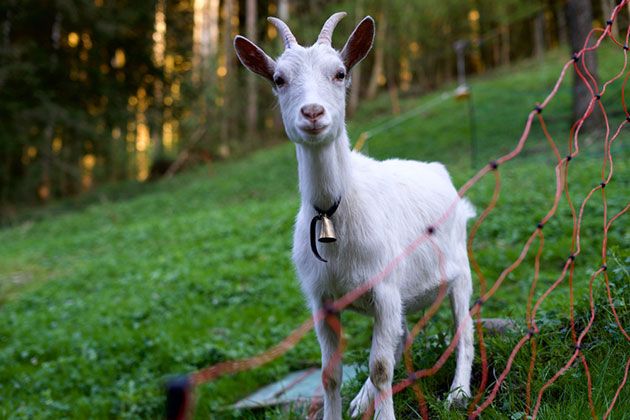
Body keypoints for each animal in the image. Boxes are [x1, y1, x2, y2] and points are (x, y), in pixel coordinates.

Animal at [235, 13, 476, 420]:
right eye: (279, 79)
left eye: (340, 72)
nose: (313, 113)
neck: (332, 213)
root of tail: (439, 171)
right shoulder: (323, 300)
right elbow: (330, 374)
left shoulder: (384, 289)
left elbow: (380, 367)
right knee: (400, 336)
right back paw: (363, 398)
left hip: (458, 269)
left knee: (465, 327)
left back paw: (458, 392)